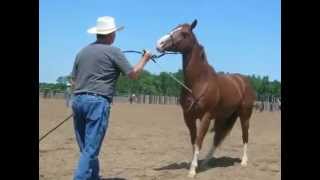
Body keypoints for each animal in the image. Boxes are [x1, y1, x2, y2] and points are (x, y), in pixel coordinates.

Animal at [156, 19, 256, 177]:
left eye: (184, 33)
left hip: (244, 115)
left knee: (245, 135)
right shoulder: (188, 117)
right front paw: (194, 165)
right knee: (218, 138)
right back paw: (206, 163)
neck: (199, 82)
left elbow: (199, 141)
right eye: (173, 28)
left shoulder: (206, 117)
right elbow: (194, 141)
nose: (159, 43)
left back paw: (244, 162)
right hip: (224, 117)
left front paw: (192, 171)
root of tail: (243, 81)